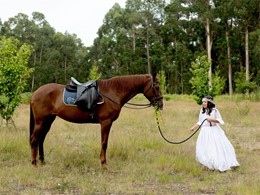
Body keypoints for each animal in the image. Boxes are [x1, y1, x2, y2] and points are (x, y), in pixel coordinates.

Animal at [30, 73, 162, 166]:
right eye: (157, 86)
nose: (161, 104)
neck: (112, 92)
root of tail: (35, 93)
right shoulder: (106, 122)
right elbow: (104, 143)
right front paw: (103, 164)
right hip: (40, 122)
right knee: (34, 139)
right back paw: (34, 163)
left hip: (48, 120)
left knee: (41, 139)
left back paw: (42, 161)